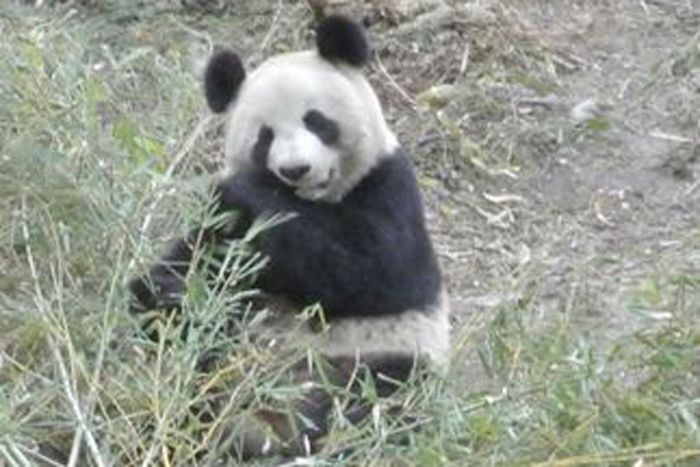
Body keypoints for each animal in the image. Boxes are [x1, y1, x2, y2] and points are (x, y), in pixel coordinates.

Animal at [129, 13, 452, 460]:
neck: (313, 202)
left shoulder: (388, 186)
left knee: (375, 399)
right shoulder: (222, 232)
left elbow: (370, 270)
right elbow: (194, 261)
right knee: (188, 375)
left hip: (379, 355)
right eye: (265, 136)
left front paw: (251, 194)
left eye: (316, 121)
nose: (295, 170)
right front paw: (165, 289)